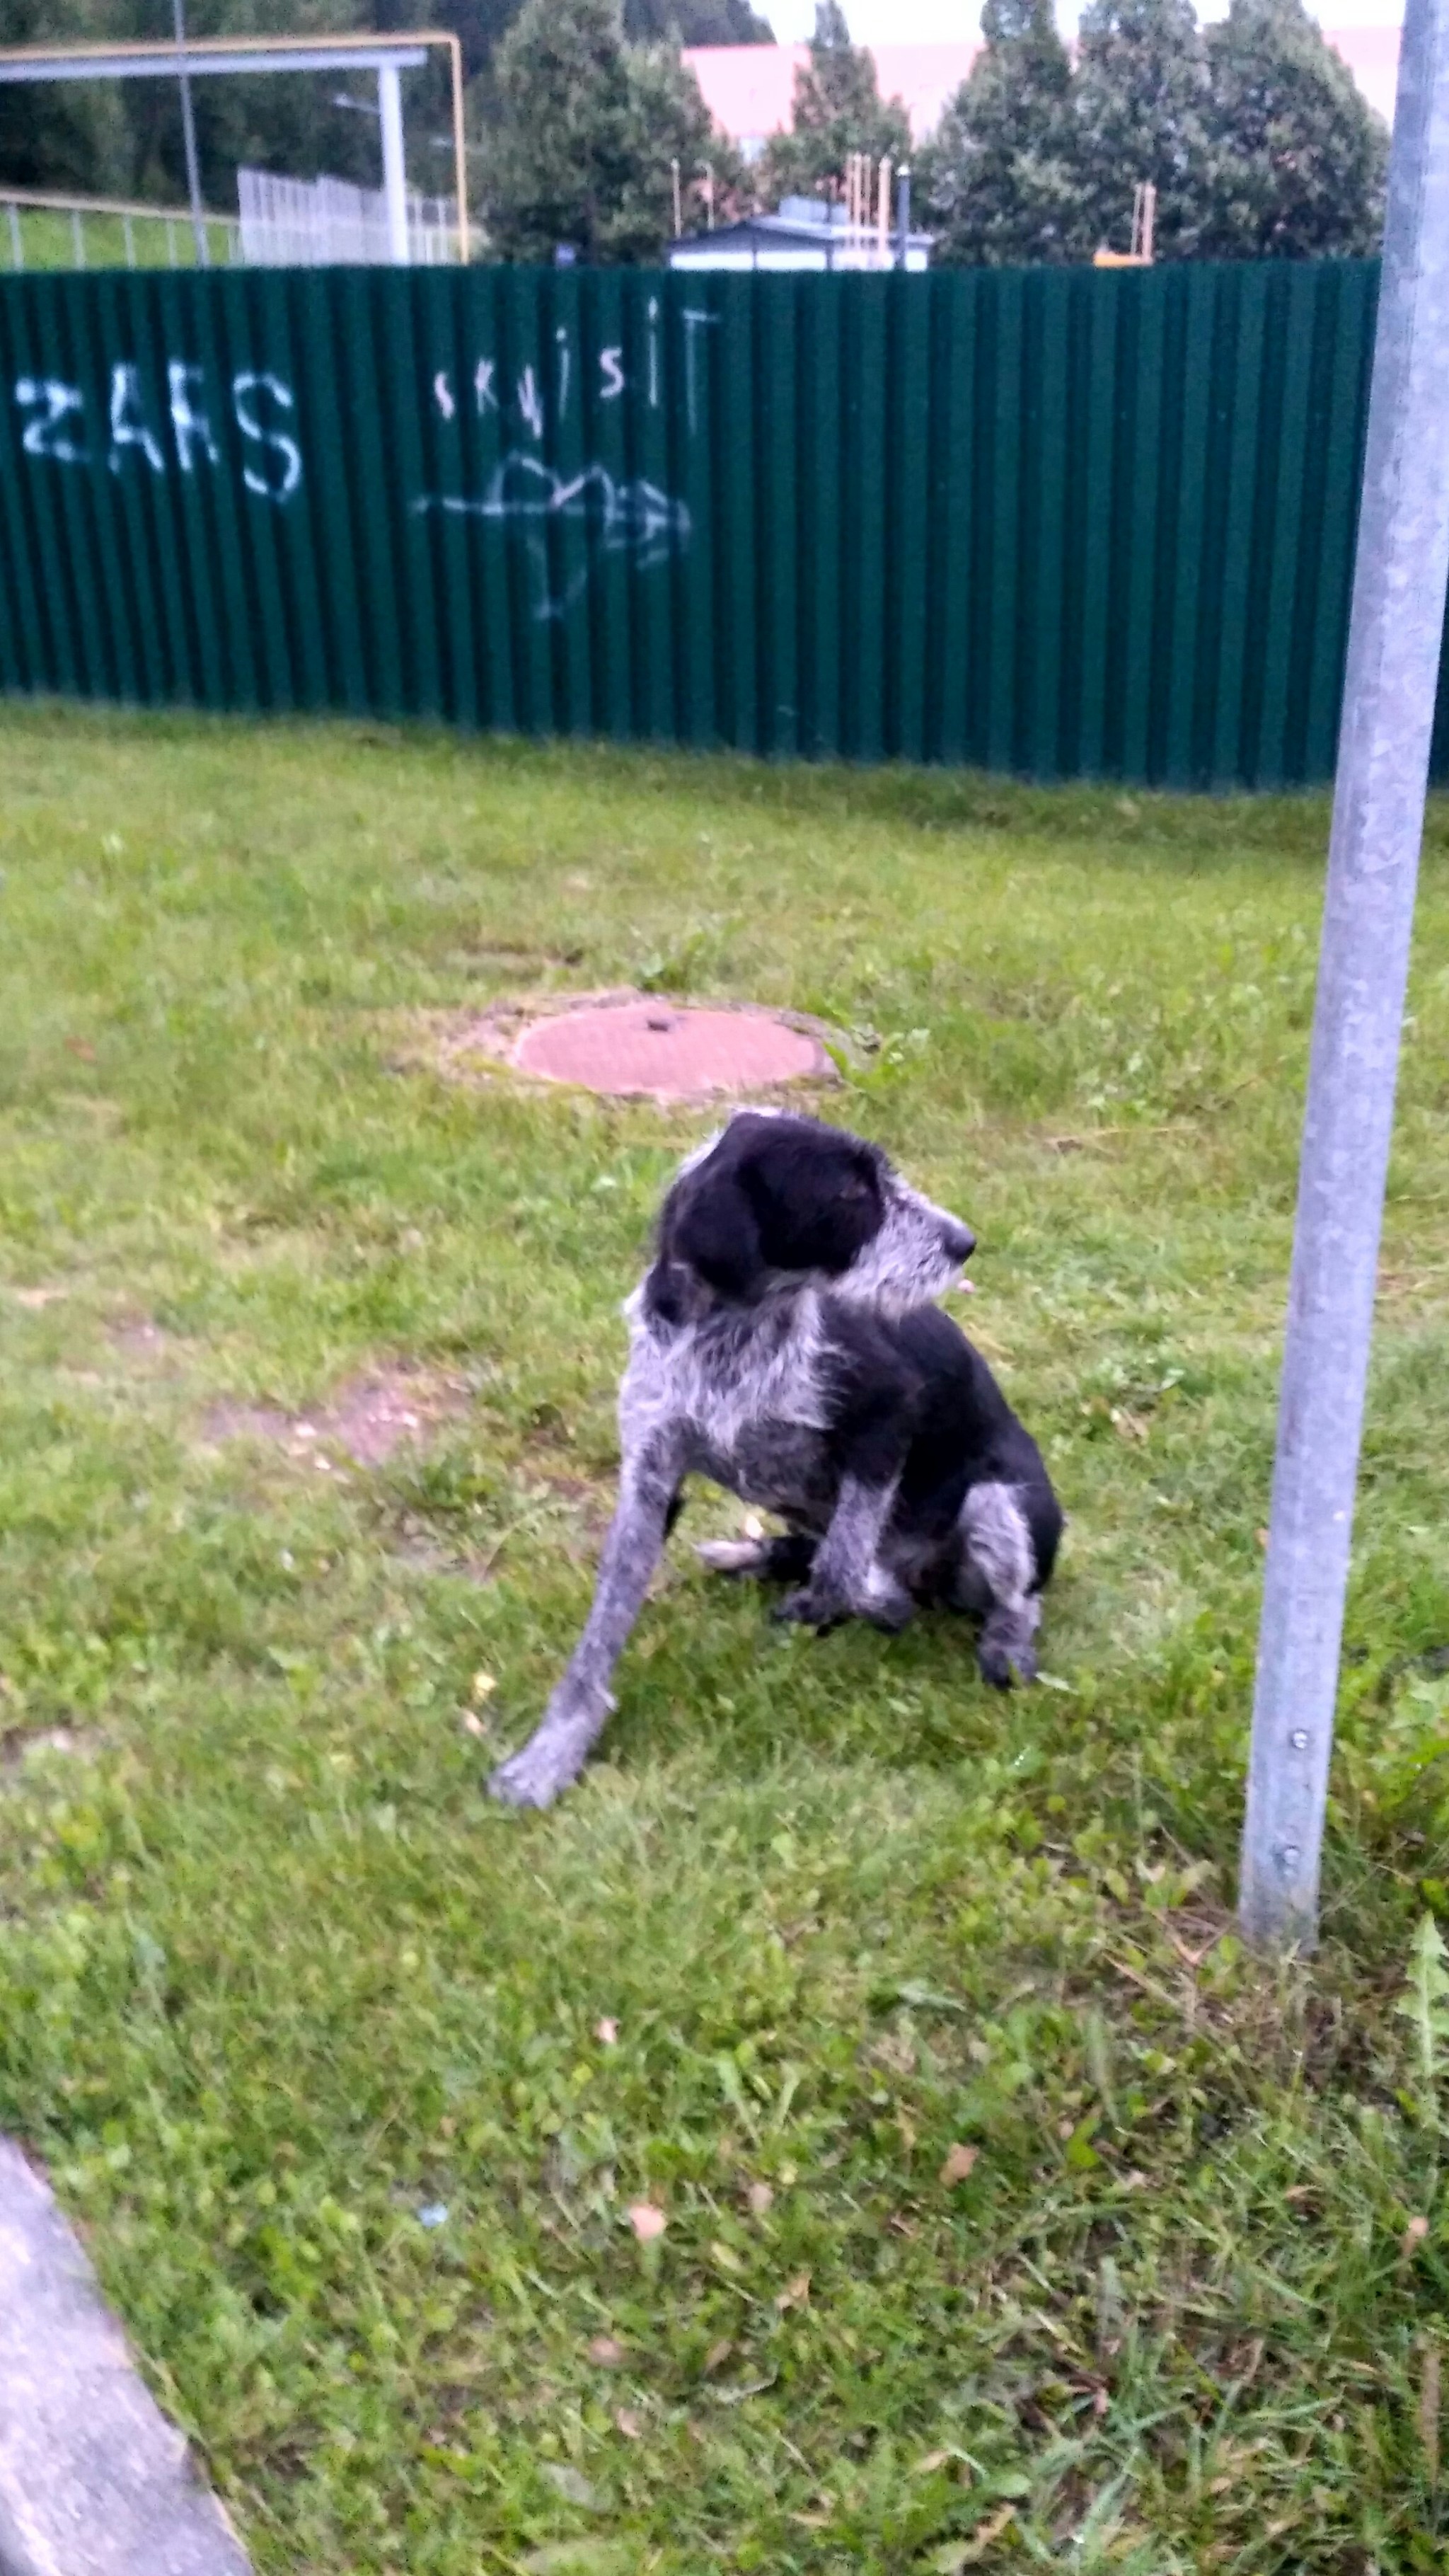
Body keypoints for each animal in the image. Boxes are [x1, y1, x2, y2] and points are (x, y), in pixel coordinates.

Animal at [491, 1112, 1065, 1813]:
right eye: (850, 1193)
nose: (965, 1241)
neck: (732, 1337)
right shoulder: (649, 1478)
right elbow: (597, 1642)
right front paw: (552, 1753)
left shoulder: (889, 1417)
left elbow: (845, 1569)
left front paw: (853, 1603)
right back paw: (756, 1556)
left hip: (999, 1504)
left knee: (1017, 1601)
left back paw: (998, 1643)